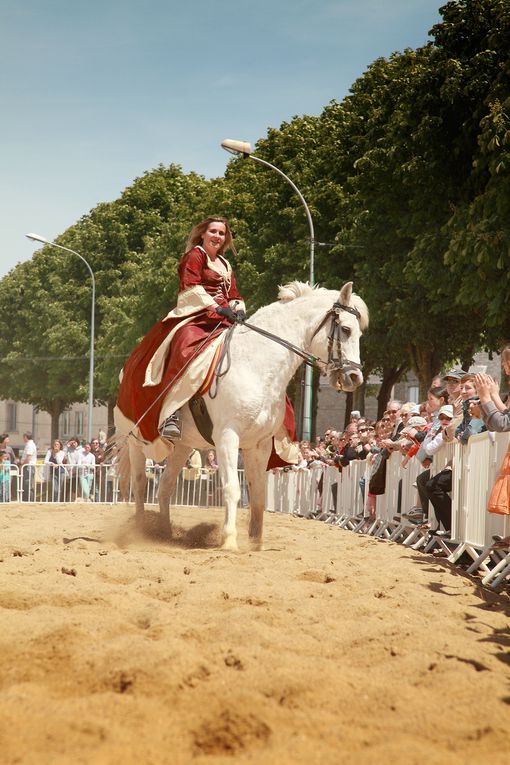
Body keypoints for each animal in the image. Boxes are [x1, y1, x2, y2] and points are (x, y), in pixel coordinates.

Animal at [116, 280, 366, 548]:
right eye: (346, 329)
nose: (355, 378)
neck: (257, 365)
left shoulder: (260, 444)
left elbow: (257, 495)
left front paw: (256, 543)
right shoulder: (227, 437)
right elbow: (232, 489)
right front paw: (229, 540)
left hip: (182, 445)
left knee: (165, 485)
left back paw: (163, 533)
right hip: (138, 439)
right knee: (140, 482)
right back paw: (140, 530)